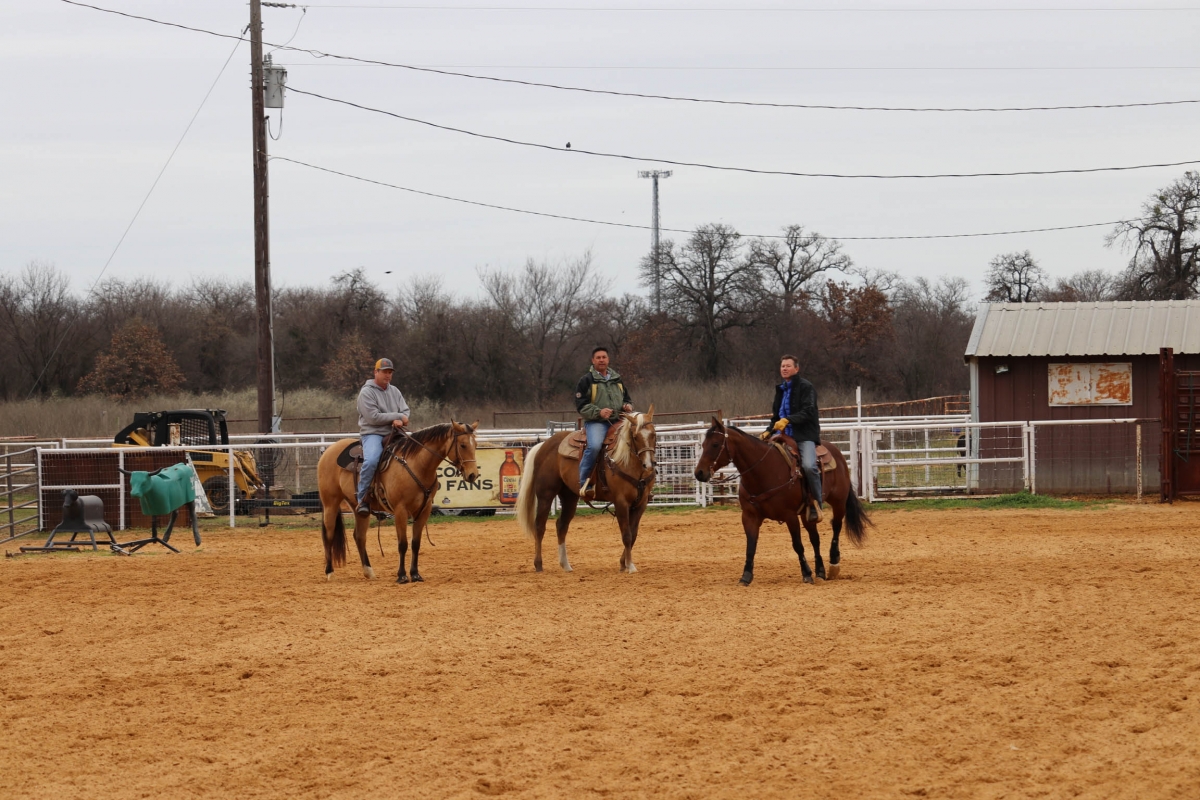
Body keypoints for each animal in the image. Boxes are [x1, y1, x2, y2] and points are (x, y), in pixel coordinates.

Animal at [316, 421, 479, 583]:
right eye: (463, 445)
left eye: (476, 444)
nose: (473, 475)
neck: (416, 466)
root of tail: (330, 450)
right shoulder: (401, 510)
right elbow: (402, 544)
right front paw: (402, 575)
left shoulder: (424, 510)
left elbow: (415, 544)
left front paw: (415, 574)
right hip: (330, 503)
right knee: (328, 535)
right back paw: (330, 572)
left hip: (359, 509)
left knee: (359, 537)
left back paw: (369, 571)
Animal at [516, 408, 656, 574]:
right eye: (635, 437)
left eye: (654, 434)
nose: (649, 464)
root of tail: (544, 445)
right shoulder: (621, 502)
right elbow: (627, 535)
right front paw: (631, 566)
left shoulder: (641, 503)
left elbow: (633, 535)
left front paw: (624, 563)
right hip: (546, 494)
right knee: (540, 526)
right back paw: (538, 564)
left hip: (569, 496)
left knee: (561, 526)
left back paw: (566, 565)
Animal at [693, 417, 870, 586]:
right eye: (703, 444)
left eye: (715, 444)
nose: (699, 473)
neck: (764, 471)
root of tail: (837, 453)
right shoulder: (749, 516)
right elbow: (751, 546)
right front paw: (746, 576)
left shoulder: (790, 516)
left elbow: (797, 545)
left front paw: (806, 574)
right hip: (807, 514)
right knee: (815, 538)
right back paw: (820, 571)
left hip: (838, 502)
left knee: (836, 526)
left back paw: (833, 564)